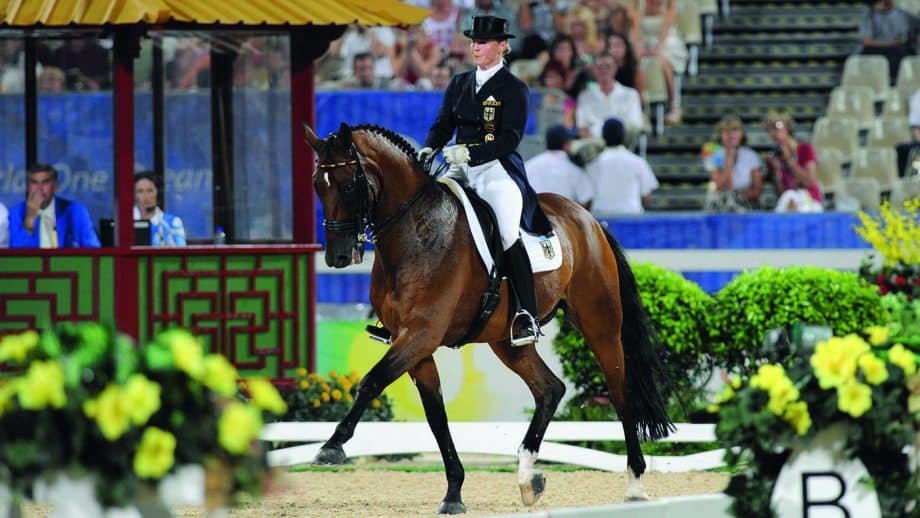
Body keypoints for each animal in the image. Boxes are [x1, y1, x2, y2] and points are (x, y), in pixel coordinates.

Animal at [303, 122, 673, 514]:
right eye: (316, 185)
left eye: (348, 185)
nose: (338, 257)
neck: (416, 231)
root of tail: (589, 219)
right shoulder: (415, 344)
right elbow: (436, 416)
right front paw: (454, 493)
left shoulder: (420, 334)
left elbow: (372, 382)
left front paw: (331, 447)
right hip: (508, 341)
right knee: (550, 389)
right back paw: (528, 479)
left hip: (600, 323)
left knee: (619, 392)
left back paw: (635, 483)